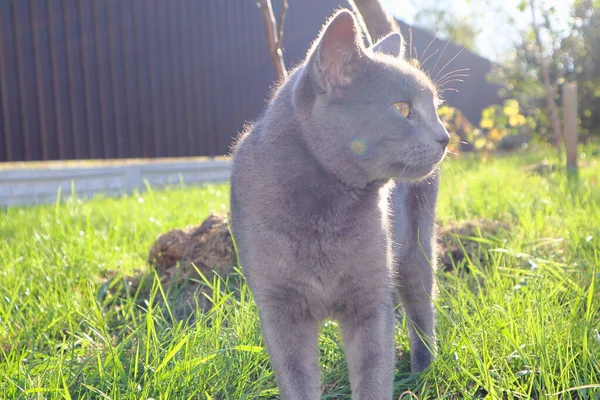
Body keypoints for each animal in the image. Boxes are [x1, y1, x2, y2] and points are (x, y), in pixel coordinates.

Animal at [230, 9, 450, 400]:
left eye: (434, 108)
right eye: (402, 107)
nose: (446, 136)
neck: (325, 212)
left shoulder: (371, 301)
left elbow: (373, 376)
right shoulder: (279, 311)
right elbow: (297, 382)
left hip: (416, 247)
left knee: (421, 310)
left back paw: (422, 373)